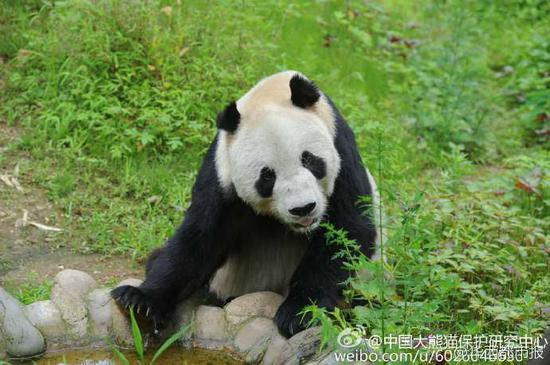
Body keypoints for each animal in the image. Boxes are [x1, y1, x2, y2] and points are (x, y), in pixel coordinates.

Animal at [110, 70, 382, 336]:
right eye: (267, 176)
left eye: (309, 159)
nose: (303, 208)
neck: (271, 94)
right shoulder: (222, 171)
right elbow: (198, 240)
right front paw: (139, 302)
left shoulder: (341, 150)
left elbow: (347, 230)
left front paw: (300, 313)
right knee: (160, 259)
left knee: (367, 302)